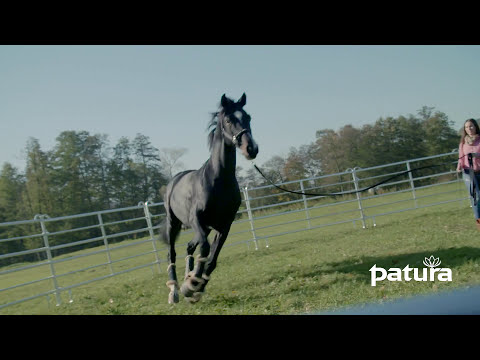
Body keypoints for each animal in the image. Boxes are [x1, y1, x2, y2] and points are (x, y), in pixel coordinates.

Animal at [161, 93, 258, 304]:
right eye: (229, 120)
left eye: (248, 117)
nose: (251, 148)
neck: (218, 180)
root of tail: (175, 179)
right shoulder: (196, 219)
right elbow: (205, 249)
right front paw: (190, 286)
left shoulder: (224, 225)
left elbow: (212, 259)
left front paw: (195, 286)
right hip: (175, 223)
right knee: (172, 252)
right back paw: (174, 291)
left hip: (204, 228)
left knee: (190, 247)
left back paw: (187, 278)